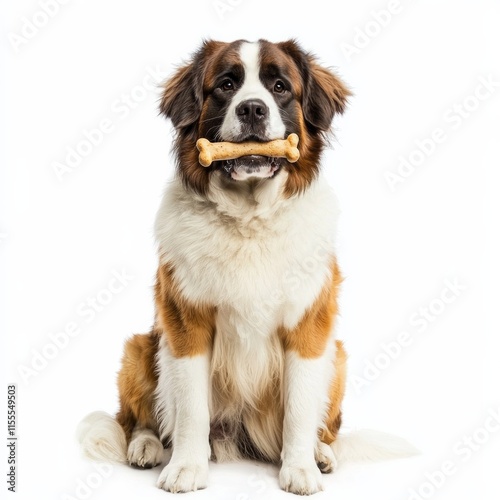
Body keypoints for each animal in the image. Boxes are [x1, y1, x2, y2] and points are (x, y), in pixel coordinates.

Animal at [78, 39, 414, 496]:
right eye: (226, 84)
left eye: (279, 86)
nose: (252, 108)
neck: (249, 220)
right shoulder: (186, 323)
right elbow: (191, 408)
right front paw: (186, 467)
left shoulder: (309, 326)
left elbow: (299, 408)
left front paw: (300, 468)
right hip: (141, 347)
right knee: (138, 418)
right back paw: (146, 446)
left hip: (337, 356)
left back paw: (321, 452)